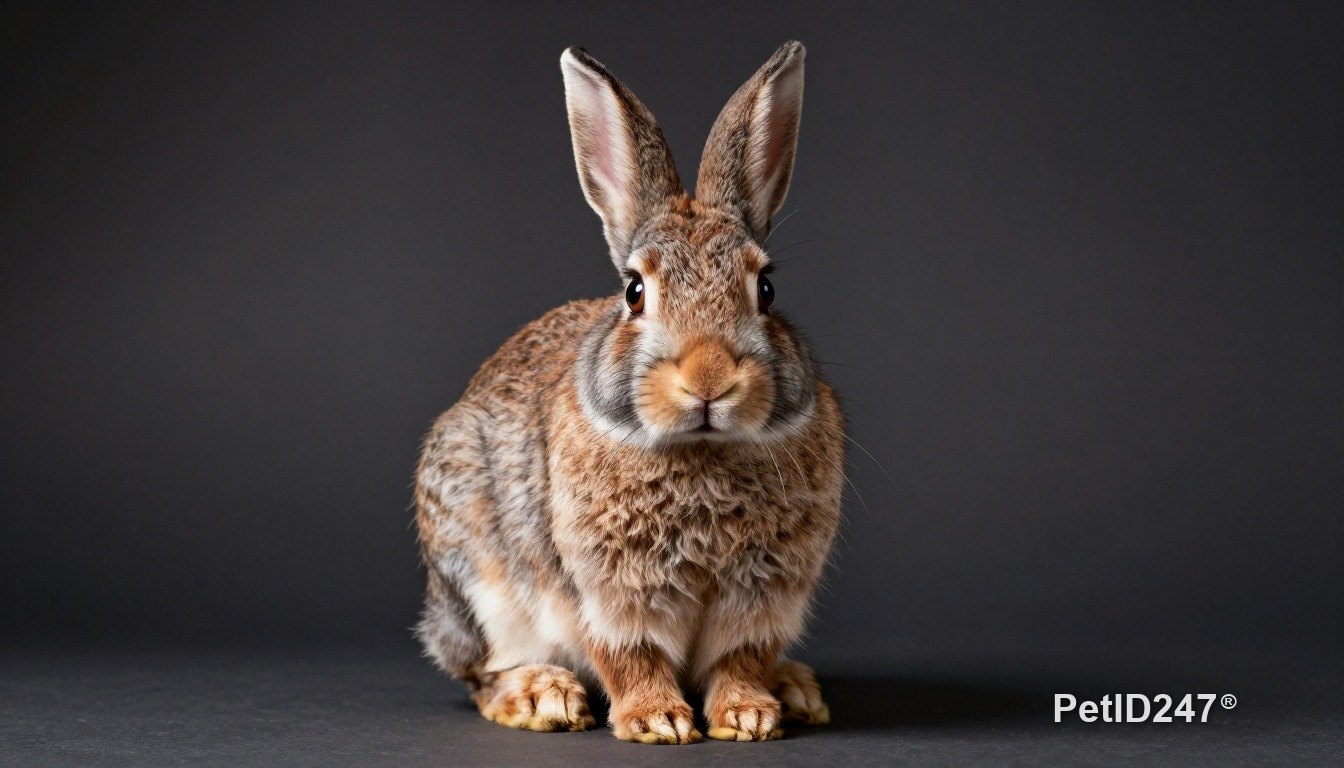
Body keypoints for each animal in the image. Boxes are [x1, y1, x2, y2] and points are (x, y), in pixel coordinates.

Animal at [414, 40, 844, 744]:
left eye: (767, 289)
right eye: (635, 291)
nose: (708, 380)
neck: (702, 450)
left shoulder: (765, 596)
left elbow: (742, 658)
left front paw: (748, 716)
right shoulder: (607, 593)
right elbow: (629, 655)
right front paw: (658, 721)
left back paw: (795, 690)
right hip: (474, 575)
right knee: (481, 673)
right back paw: (542, 698)